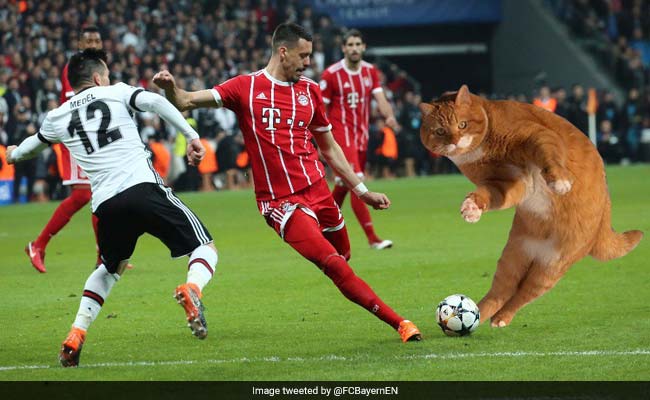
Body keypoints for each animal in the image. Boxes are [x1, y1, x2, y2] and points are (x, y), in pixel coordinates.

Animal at [418, 86, 640, 326]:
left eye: (462, 125)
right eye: (440, 131)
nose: (455, 141)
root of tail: (605, 219)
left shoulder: (537, 136)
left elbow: (549, 156)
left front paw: (559, 182)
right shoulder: (507, 184)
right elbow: (487, 195)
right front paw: (471, 208)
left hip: (551, 266)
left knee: (524, 293)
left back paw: (500, 318)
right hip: (513, 256)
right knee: (503, 290)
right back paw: (479, 315)